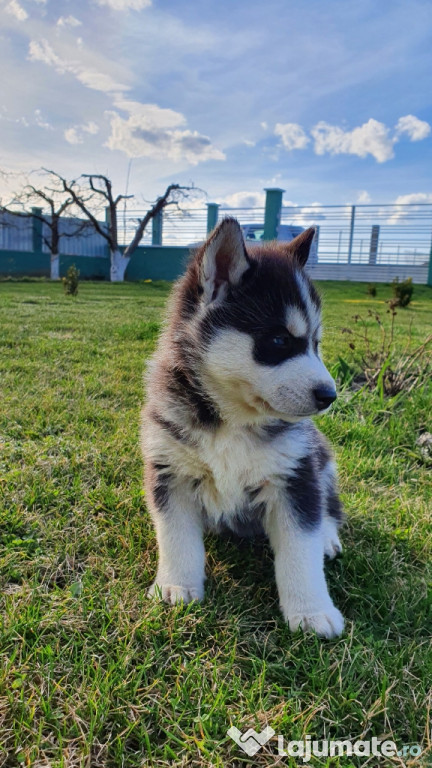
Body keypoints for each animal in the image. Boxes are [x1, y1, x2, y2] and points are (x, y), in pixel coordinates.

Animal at [142, 219, 344, 640]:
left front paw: (312, 611)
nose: (329, 395)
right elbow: (176, 536)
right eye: (280, 340)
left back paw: (328, 538)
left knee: (330, 507)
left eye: (315, 344)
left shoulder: (295, 477)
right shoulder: (170, 470)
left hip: (322, 461)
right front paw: (176, 585)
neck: (232, 420)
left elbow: (301, 550)